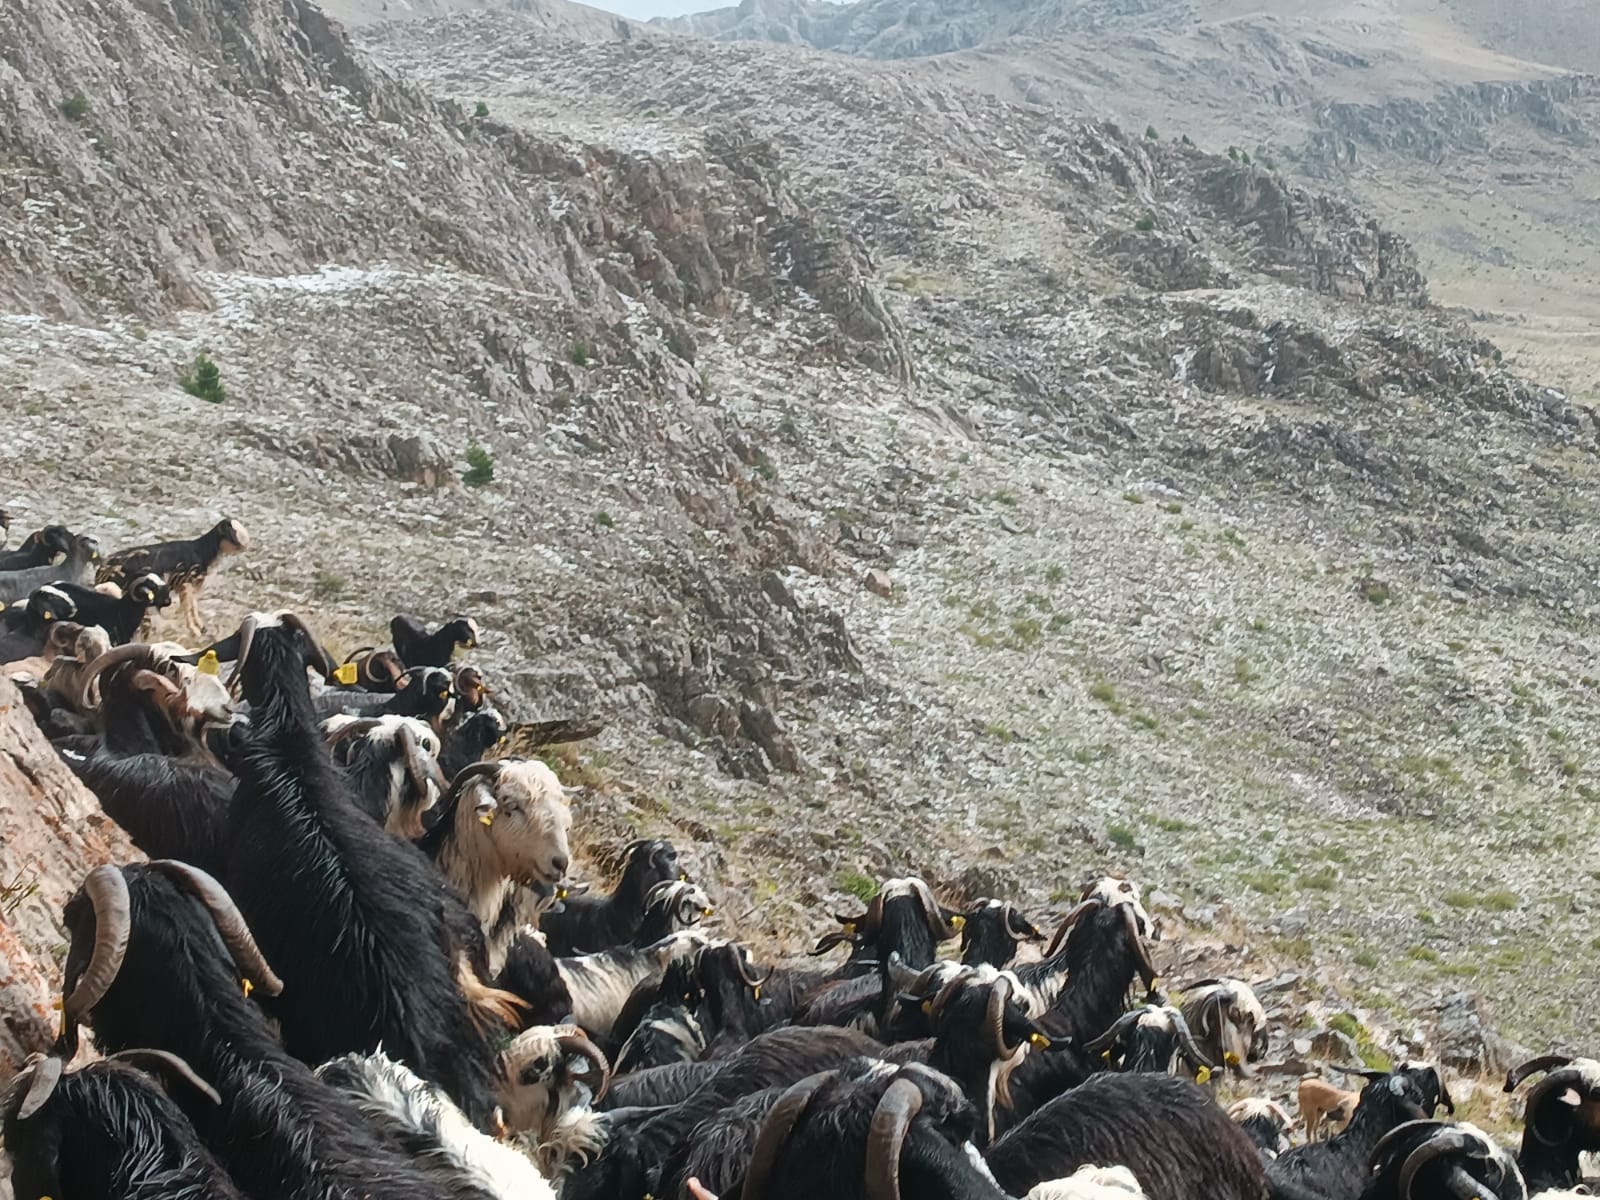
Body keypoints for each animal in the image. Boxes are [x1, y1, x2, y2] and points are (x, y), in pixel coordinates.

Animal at [99, 521, 246, 643]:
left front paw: (200, 628)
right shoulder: (186, 583)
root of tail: (104, 567)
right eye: (232, 532)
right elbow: (188, 606)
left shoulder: (187, 585)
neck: (201, 551)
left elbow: (192, 605)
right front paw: (196, 631)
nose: (244, 546)